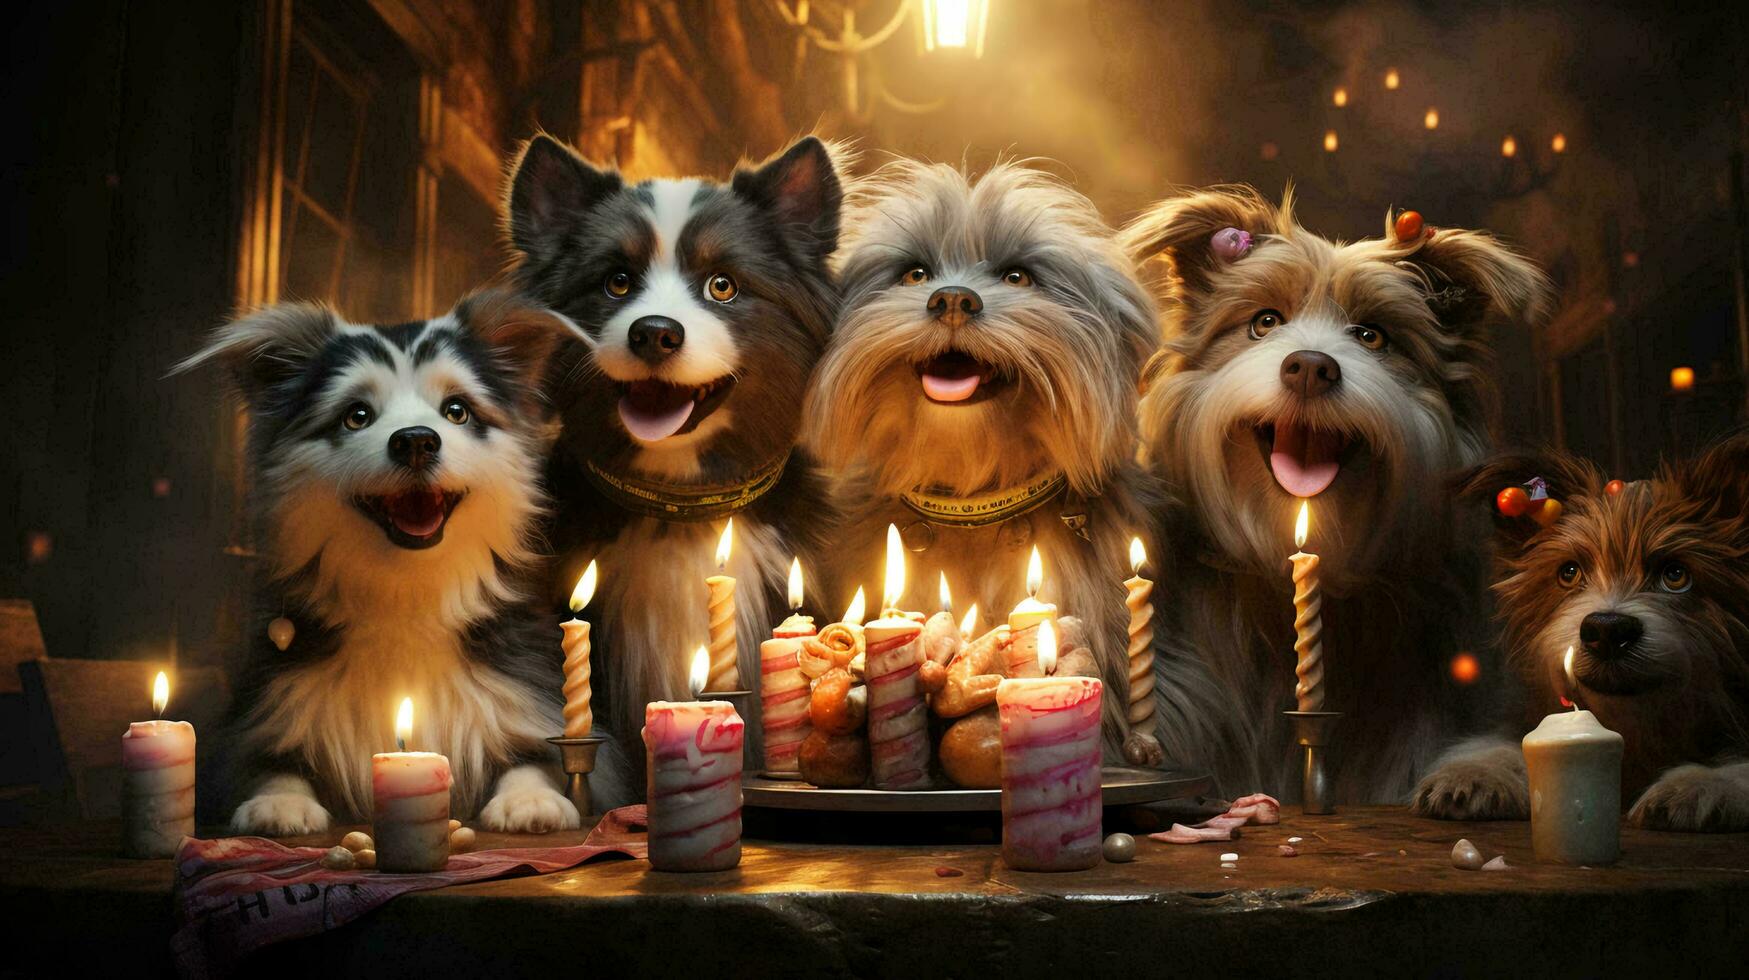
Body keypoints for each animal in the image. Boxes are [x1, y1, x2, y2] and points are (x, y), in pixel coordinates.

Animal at [176, 288, 587, 833]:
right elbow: (270, 764)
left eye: (457, 411)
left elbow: (533, 759)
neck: (408, 591)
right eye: (356, 415)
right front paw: (279, 803)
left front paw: (530, 799)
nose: (415, 440)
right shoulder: (262, 711)